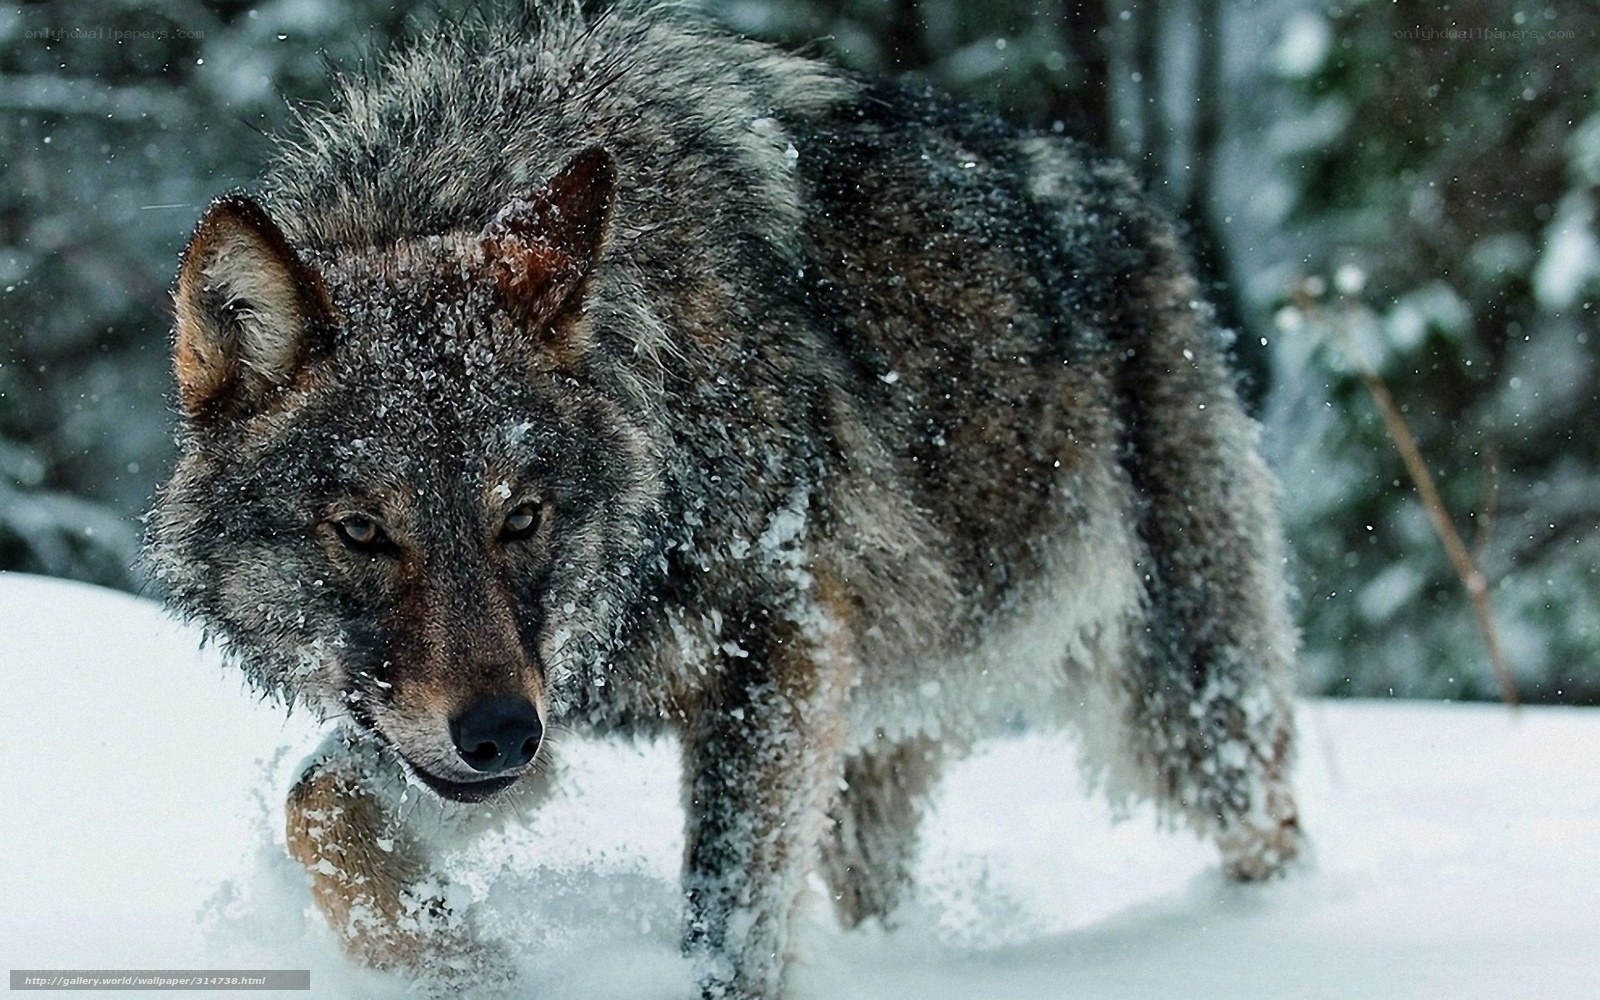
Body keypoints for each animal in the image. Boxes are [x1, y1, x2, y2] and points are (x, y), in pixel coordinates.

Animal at [147, 4, 1302, 997]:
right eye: (361, 531)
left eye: (521, 517)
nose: (501, 739)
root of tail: (1133, 197)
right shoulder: (526, 704)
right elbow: (317, 806)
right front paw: (454, 962)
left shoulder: (771, 644)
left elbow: (727, 923)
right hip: (868, 761)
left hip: (1182, 707)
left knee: (1273, 823)